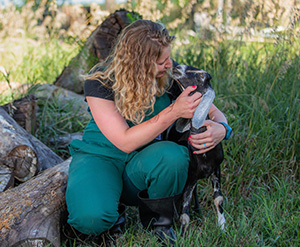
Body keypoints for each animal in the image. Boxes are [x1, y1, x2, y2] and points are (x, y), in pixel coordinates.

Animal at [168, 64, 226, 235]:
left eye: (202, 75)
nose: (177, 67)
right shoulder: (190, 177)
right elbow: (184, 214)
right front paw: (182, 235)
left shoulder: (216, 169)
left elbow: (218, 199)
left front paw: (222, 227)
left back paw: (199, 211)